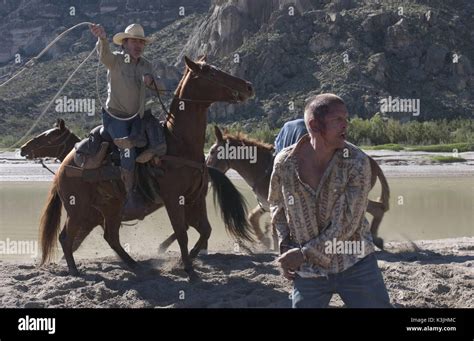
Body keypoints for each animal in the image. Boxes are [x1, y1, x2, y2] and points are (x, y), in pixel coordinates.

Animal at [39, 57, 256, 278]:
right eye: (211, 73)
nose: (248, 86)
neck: (178, 144)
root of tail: (62, 168)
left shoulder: (195, 198)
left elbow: (205, 230)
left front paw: (182, 263)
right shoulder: (173, 199)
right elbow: (182, 234)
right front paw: (189, 269)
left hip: (109, 208)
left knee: (110, 236)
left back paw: (134, 265)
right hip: (79, 209)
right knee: (67, 237)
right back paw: (75, 270)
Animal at [206, 125, 388, 250]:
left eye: (213, 151)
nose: (207, 171)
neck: (261, 168)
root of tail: (372, 161)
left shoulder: (276, 203)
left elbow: (274, 229)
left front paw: (273, 245)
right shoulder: (265, 204)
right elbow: (253, 218)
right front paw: (265, 241)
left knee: (375, 209)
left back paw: (375, 238)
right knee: (377, 208)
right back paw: (376, 238)